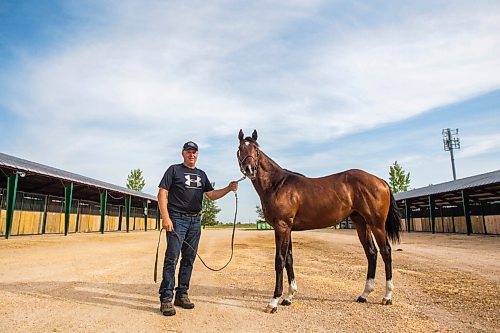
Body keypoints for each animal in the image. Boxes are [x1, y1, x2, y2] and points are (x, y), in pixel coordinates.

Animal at [237, 129, 402, 312]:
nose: (249, 169)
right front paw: (289, 297)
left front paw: (273, 301)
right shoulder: (288, 228)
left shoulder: (281, 226)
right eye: (240, 149)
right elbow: (289, 259)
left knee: (386, 252)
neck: (277, 185)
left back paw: (387, 296)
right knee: (371, 253)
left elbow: (279, 260)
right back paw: (364, 295)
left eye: (256, 149)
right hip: (361, 223)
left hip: (376, 224)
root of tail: (381, 181)